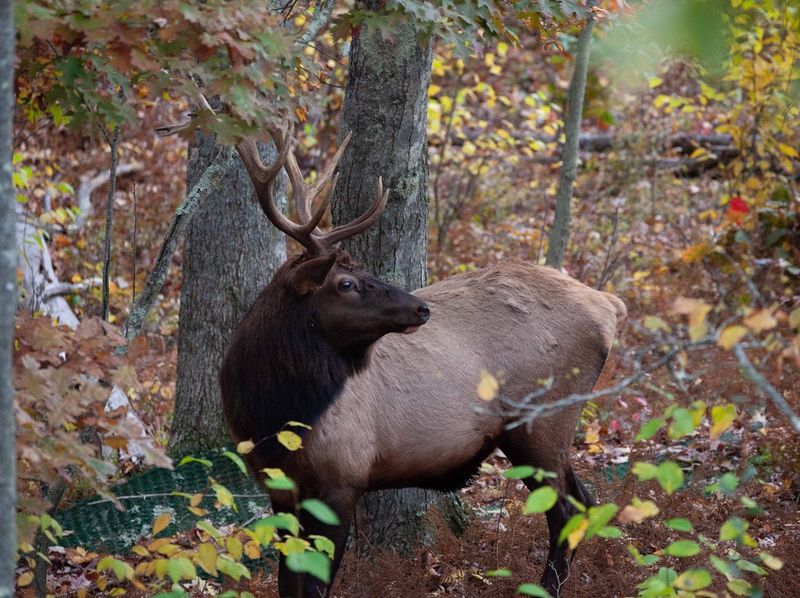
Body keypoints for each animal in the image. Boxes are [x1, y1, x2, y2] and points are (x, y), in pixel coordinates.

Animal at [219, 124, 626, 598]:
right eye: (345, 282)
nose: (420, 307)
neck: (272, 413)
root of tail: (609, 306)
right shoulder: (280, 489)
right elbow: (289, 581)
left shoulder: (342, 478)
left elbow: (316, 584)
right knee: (584, 500)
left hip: (542, 420)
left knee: (565, 509)